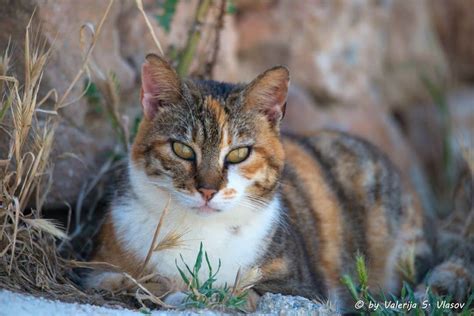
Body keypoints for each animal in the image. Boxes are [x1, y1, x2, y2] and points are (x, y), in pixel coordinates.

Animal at [86, 53, 470, 312]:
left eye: (239, 153)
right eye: (182, 149)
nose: (208, 189)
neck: (199, 236)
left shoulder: (302, 287)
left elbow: (247, 293)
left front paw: (201, 296)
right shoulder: (97, 269)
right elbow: (131, 279)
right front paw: (168, 288)